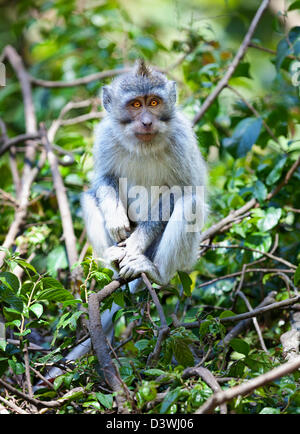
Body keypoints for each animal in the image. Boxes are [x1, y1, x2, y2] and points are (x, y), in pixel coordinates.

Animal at [81, 59, 207, 306]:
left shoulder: (181, 140)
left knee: (190, 203)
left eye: (154, 102)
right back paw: (113, 259)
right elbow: (104, 177)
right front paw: (116, 220)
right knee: (90, 196)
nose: (147, 122)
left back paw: (155, 273)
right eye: (136, 104)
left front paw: (135, 242)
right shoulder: (106, 136)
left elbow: (183, 190)